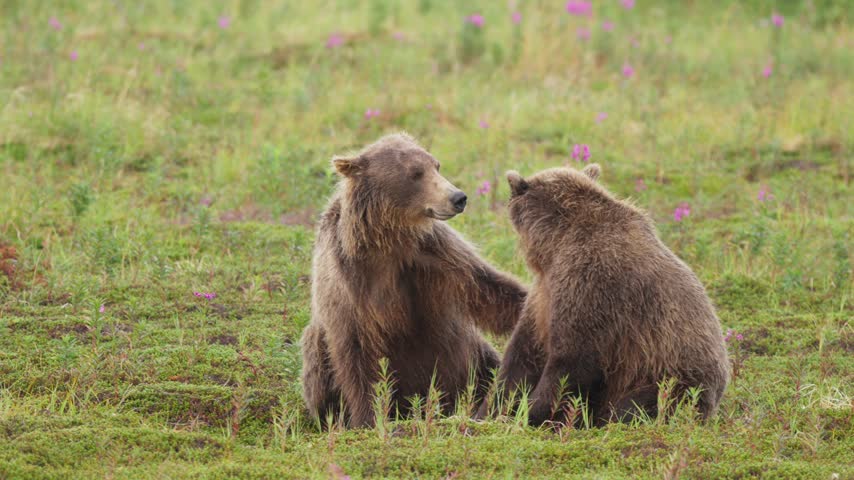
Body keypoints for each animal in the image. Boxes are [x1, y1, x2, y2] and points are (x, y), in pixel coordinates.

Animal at [300, 132, 527, 428]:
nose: (458, 197)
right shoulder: (347, 283)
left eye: (436, 165)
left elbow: (487, 287)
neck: (387, 240)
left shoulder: (434, 255)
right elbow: (356, 355)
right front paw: (368, 417)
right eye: (415, 173)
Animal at [476, 164, 729, 426]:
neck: (554, 246)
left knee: (638, 406)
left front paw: (528, 414)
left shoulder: (590, 285)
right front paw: (488, 412)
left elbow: (572, 361)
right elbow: (522, 358)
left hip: (670, 378)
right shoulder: (543, 297)